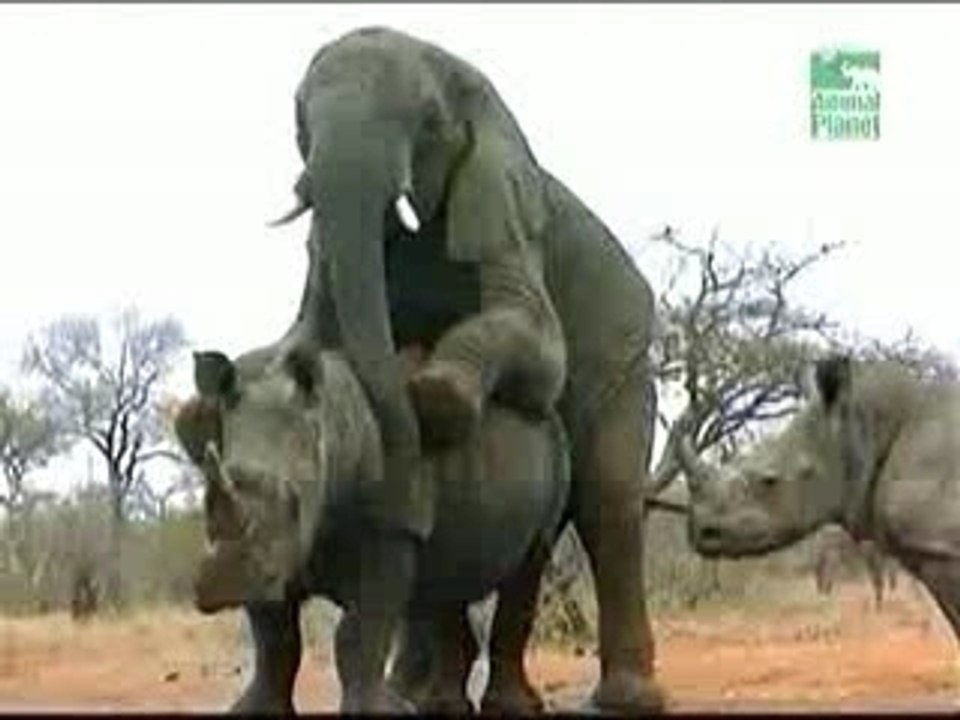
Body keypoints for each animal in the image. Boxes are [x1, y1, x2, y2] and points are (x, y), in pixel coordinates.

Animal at [173, 342, 570, 713]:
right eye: (206, 501)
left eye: (293, 502)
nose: (226, 584)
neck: (329, 425)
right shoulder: (273, 560)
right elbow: (274, 640)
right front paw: (253, 710)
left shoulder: (391, 528)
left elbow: (358, 634)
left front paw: (376, 710)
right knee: (446, 574)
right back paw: (441, 706)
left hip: (553, 454)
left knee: (530, 562)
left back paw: (511, 707)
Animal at [272, 26, 663, 712]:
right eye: (298, 119)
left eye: (428, 121)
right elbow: (310, 333)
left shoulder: (501, 198)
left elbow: (538, 341)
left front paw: (431, 394)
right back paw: (416, 693)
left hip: (628, 360)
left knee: (608, 503)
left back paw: (623, 701)